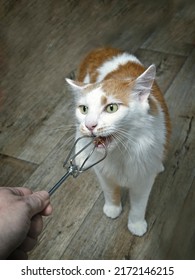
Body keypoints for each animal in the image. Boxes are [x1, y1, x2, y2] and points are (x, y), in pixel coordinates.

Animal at [66, 47, 171, 236]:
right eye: (84, 109)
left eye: (111, 108)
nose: (89, 125)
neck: (121, 152)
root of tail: (100, 49)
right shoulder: (103, 173)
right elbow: (110, 191)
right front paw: (113, 209)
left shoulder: (143, 179)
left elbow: (138, 205)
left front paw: (136, 224)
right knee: (78, 134)